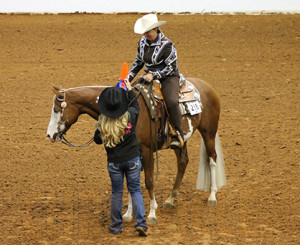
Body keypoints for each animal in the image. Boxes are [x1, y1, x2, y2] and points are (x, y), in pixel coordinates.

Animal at [46, 78, 225, 224]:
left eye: (56, 110)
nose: (49, 135)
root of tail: (207, 86)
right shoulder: (134, 153)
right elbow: (131, 182)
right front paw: (128, 214)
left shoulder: (146, 151)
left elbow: (148, 181)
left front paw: (151, 213)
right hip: (180, 140)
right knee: (183, 162)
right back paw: (170, 199)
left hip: (208, 132)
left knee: (212, 159)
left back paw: (212, 196)